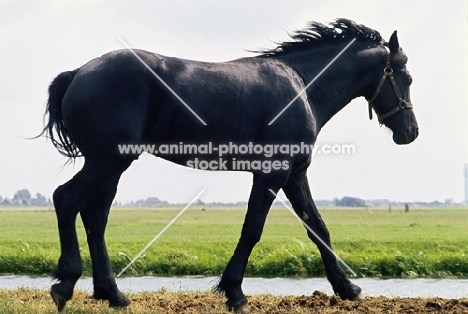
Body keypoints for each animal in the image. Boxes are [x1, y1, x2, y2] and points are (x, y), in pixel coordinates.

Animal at [43, 19, 416, 312]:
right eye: (407, 78)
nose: (410, 132)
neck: (302, 85)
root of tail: (78, 73)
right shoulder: (272, 173)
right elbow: (252, 230)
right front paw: (234, 292)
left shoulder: (295, 175)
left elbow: (317, 228)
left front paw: (347, 288)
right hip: (107, 162)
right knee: (66, 199)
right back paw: (65, 284)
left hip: (111, 167)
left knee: (95, 218)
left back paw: (112, 294)